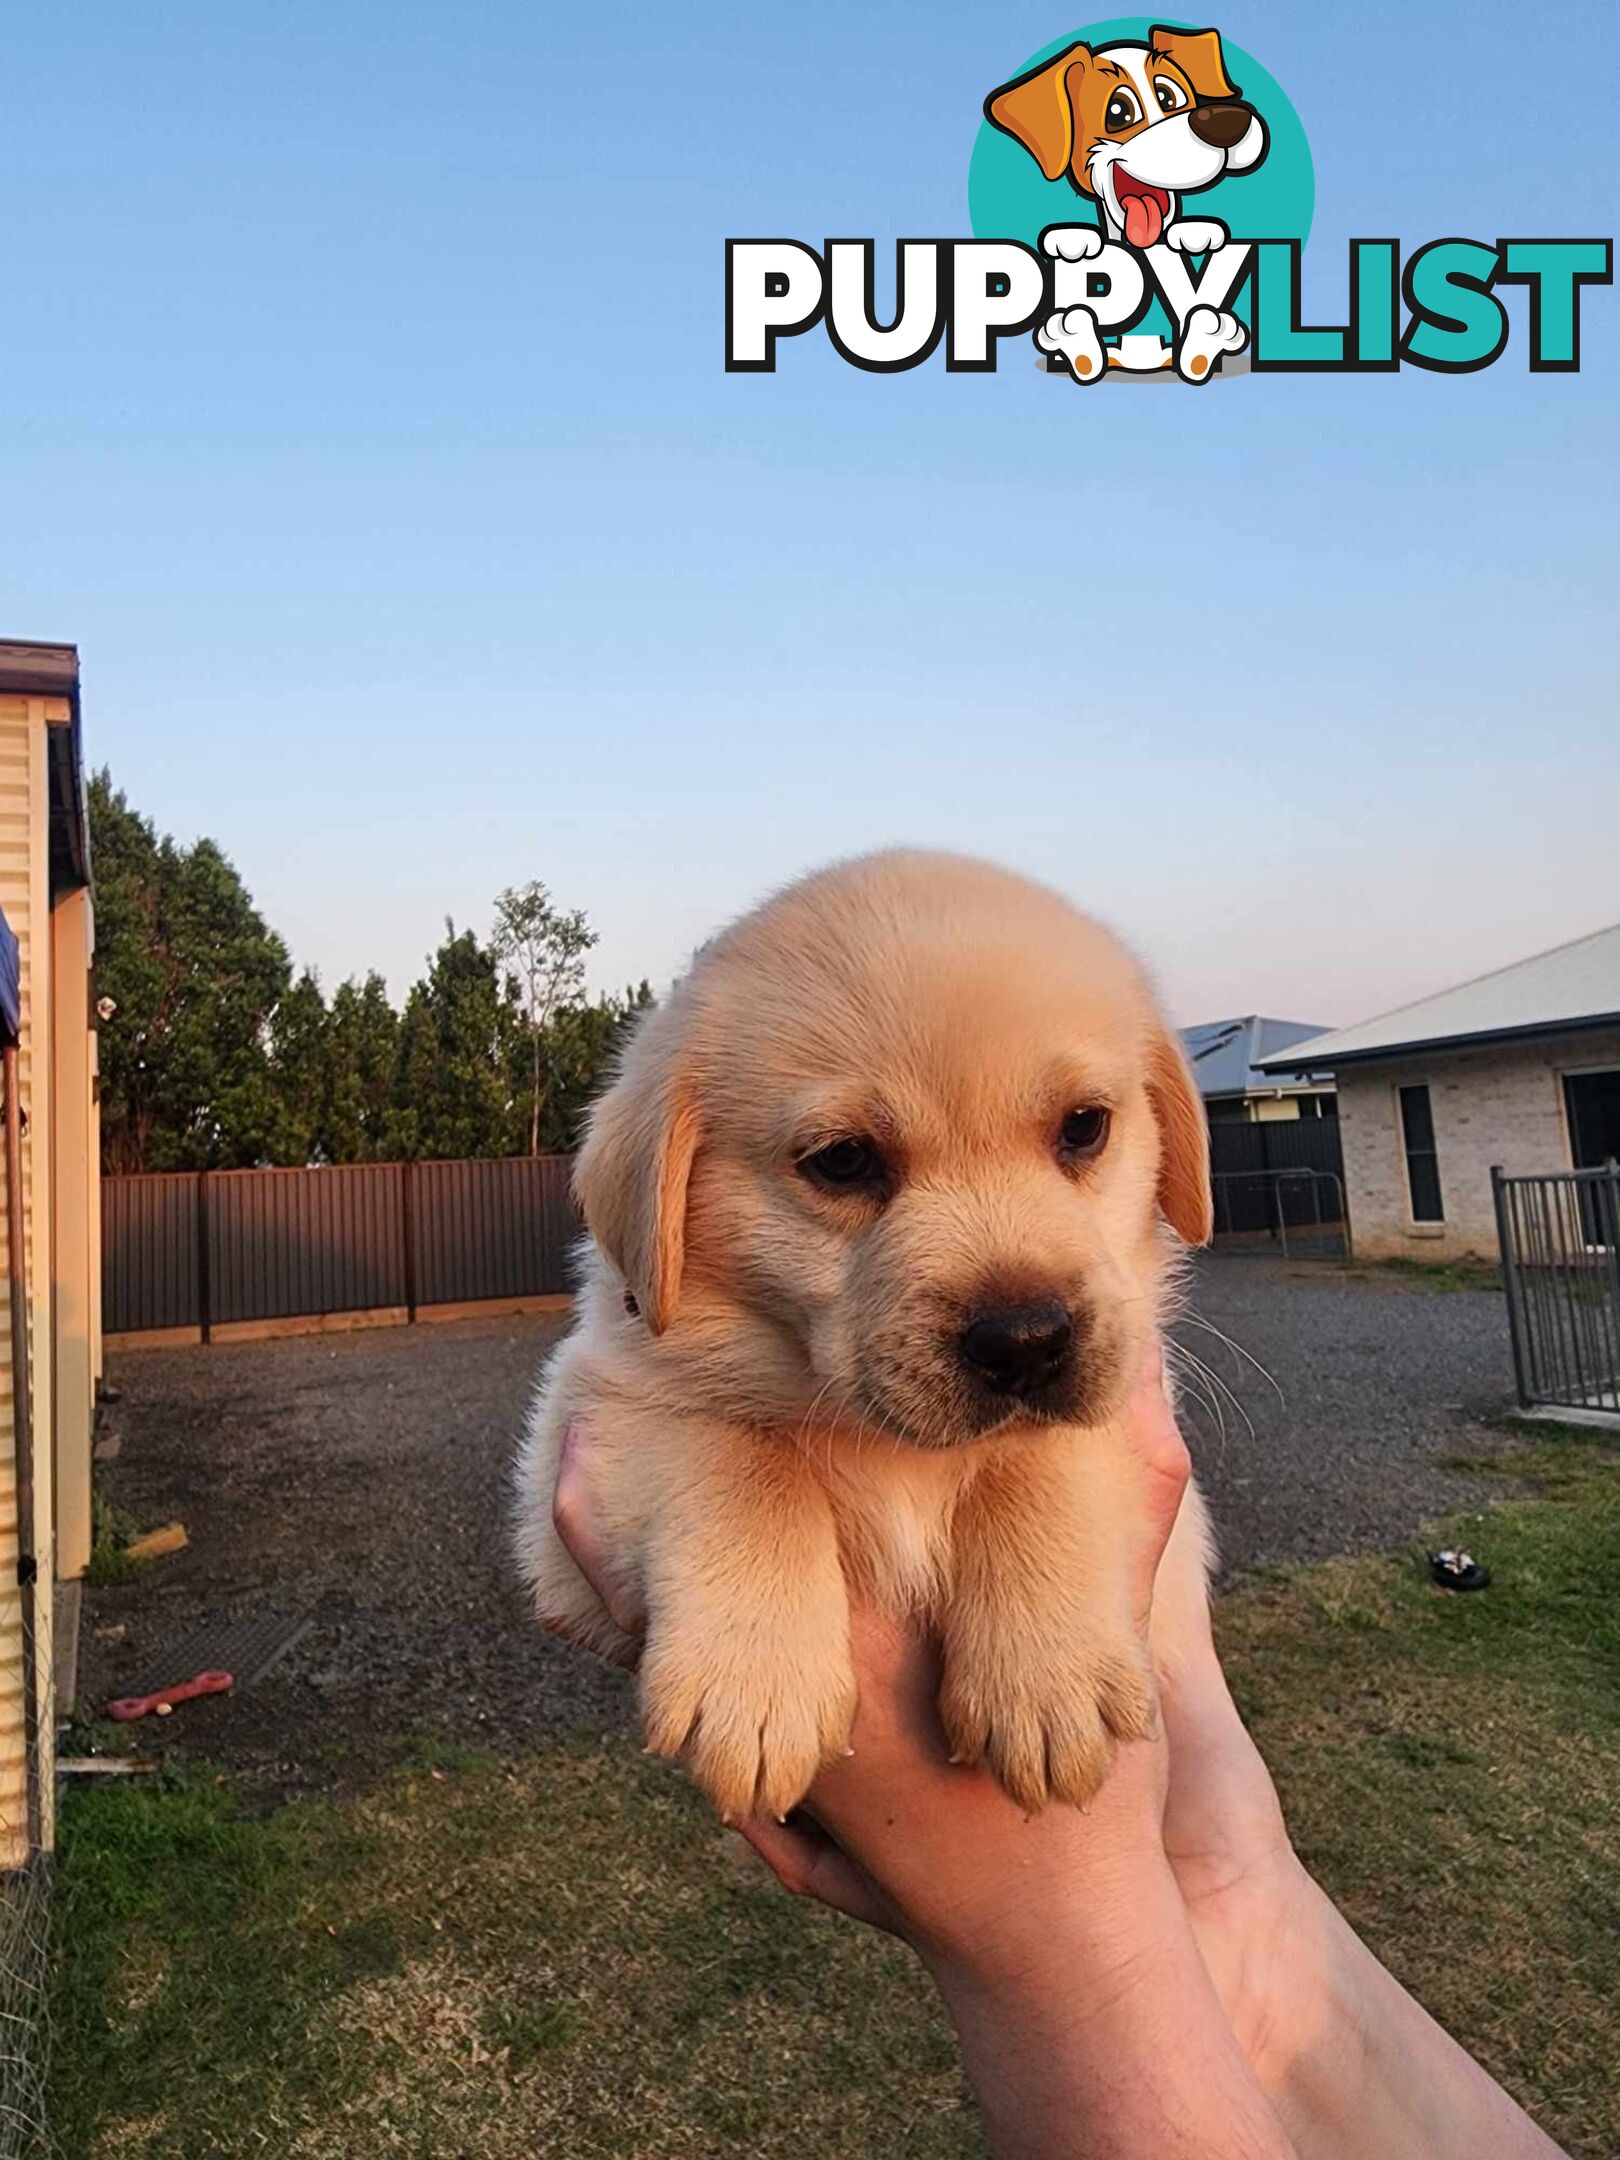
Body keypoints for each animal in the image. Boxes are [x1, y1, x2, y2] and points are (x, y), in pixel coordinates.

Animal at [514, 851, 1209, 1814]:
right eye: (843, 1160)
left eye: (1084, 1128)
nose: (1026, 1340)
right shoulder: (598, 1413)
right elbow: (742, 1459)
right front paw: (754, 1683)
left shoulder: (1134, 1386)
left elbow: (1038, 1458)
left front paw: (1046, 1678)